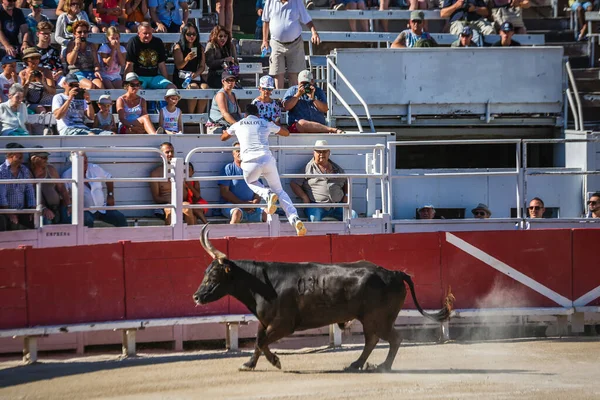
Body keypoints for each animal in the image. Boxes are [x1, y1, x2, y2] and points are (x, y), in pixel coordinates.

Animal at [193, 225, 454, 372]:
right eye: (205, 273)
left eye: (214, 275)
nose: (196, 296)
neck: (263, 283)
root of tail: (395, 273)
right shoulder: (265, 322)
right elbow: (258, 341)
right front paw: (249, 364)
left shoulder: (283, 325)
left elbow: (261, 341)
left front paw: (275, 361)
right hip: (371, 319)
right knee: (373, 340)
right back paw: (356, 364)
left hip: (377, 318)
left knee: (392, 339)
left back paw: (382, 366)